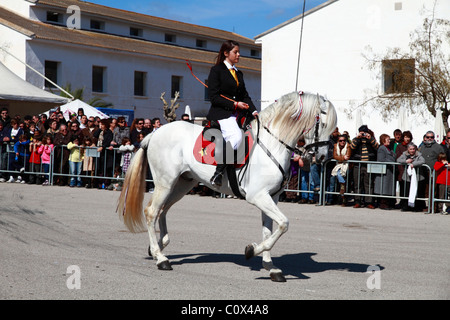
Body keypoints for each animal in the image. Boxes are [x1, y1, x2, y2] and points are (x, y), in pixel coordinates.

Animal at [118, 90, 336, 282]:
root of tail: (155, 133)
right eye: (323, 124)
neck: (272, 144)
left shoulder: (271, 198)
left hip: (181, 184)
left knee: (163, 211)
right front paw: (251, 250)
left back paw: (159, 246)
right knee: (152, 212)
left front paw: (271, 267)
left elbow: (269, 230)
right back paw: (160, 257)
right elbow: (284, 224)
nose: (324, 158)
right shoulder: (258, 197)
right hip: (165, 182)